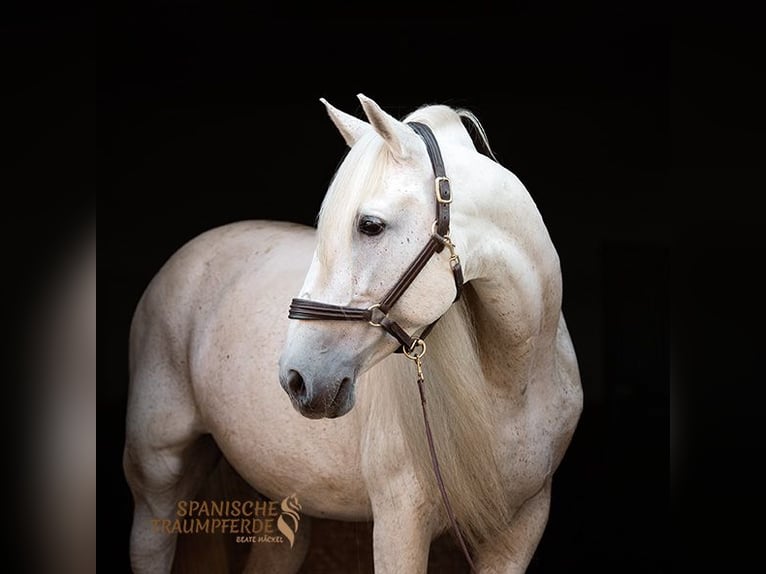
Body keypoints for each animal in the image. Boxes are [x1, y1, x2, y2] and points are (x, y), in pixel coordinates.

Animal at [123, 94, 583, 573]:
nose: (296, 378)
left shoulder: (523, 525)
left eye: (370, 225)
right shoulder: (401, 520)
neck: (513, 388)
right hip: (156, 471)